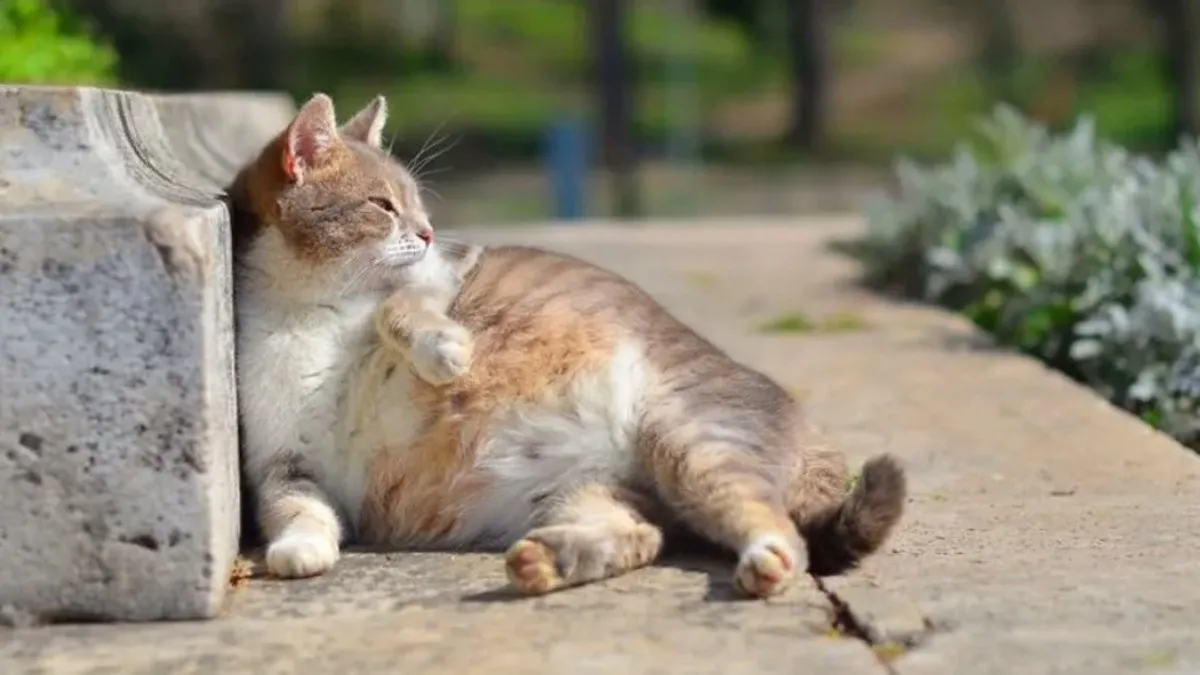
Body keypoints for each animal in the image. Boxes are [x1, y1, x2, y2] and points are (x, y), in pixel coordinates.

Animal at [225, 90, 902, 593]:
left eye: (417, 205)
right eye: (382, 205)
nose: (428, 230)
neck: (308, 311)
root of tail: (811, 431)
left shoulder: (444, 271)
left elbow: (399, 307)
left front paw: (446, 353)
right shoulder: (284, 466)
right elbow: (299, 511)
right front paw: (299, 551)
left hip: (693, 441)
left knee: (783, 535)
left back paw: (764, 563)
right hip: (587, 493)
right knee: (644, 535)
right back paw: (546, 562)